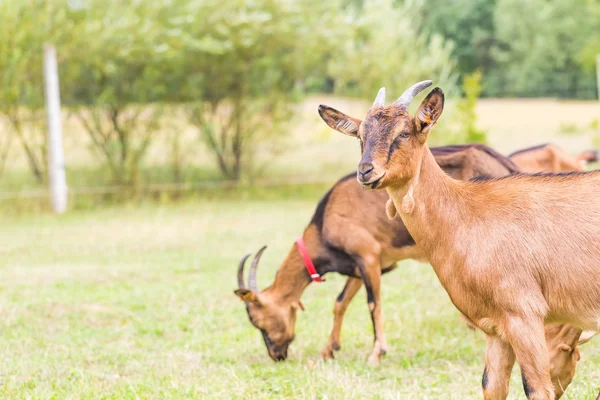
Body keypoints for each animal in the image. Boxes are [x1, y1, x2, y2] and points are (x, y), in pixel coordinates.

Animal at [318, 79, 600, 398]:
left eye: (404, 132)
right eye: (360, 135)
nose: (365, 172)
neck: (467, 213)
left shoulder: (524, 317)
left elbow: (536, 388)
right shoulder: (496, 329)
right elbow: (491, 385)